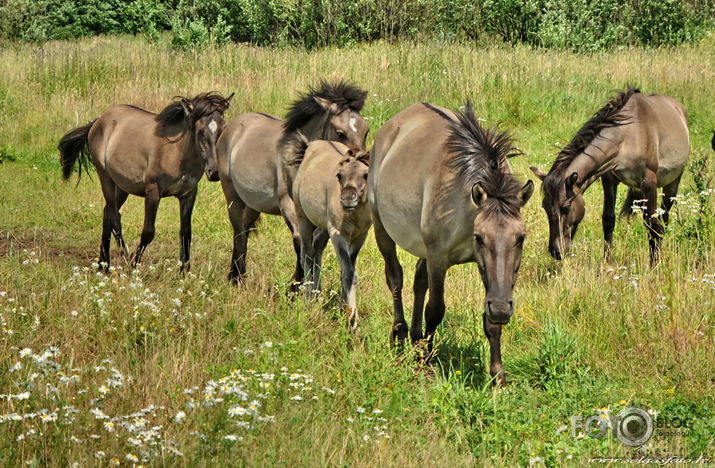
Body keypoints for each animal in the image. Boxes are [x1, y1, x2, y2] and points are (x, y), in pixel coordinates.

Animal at [58, 91, 234, 270]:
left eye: (222, 129)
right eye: (199, 130)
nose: (214, 172)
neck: (176, 153)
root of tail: (99, 121)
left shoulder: (188, 194)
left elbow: (186, 233)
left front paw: (185, 272)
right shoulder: (153, 192)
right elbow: (148, 232)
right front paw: (133, 265)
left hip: (122, 186)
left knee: (107, 214)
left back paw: (103, 264)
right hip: (105, 178)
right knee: (114, 218)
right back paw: (123, 259)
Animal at [215, 79, 366, 288]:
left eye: (366, 131)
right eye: (340, 133)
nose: (360, 169)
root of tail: (232, 127)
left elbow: (315, 246)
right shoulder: (288, 204)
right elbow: (300, 243)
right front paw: (295, 286)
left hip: (253, 203)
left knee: (244, 231)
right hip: (231, 194)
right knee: (238, 231)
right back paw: (236, 278)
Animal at [290, 138, 372, 330]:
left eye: (365, 175)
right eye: (340, 175)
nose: (348, 198)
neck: (354, 214)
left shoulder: (360, 235)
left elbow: (347, 269)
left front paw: (343, 306)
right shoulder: (337, 233)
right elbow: (349, 273)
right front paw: (352, 319)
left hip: (323, 226)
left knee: (317, 247)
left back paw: (317, 292)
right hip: (303, 218)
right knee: (307, 255)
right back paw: (309, 297)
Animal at [372, 101, 536, 384]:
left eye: (521, 238)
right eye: (479, 237)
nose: (502, 309)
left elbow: (490, 319)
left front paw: (497, 375)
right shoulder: (438, 259)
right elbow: (435, 309)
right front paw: (426, 364)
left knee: (418, 281)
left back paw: (416, 338)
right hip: (382, 227)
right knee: (395, 279)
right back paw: (400, 335)